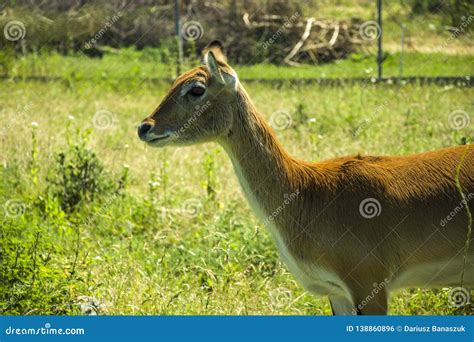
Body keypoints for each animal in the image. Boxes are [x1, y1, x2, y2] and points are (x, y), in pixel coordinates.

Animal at [138, 40, 474, 316]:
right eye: (175, 81)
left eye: (196, 89)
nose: (145, 127)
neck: (305, 191)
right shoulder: (337, 293)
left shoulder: (370, 286)